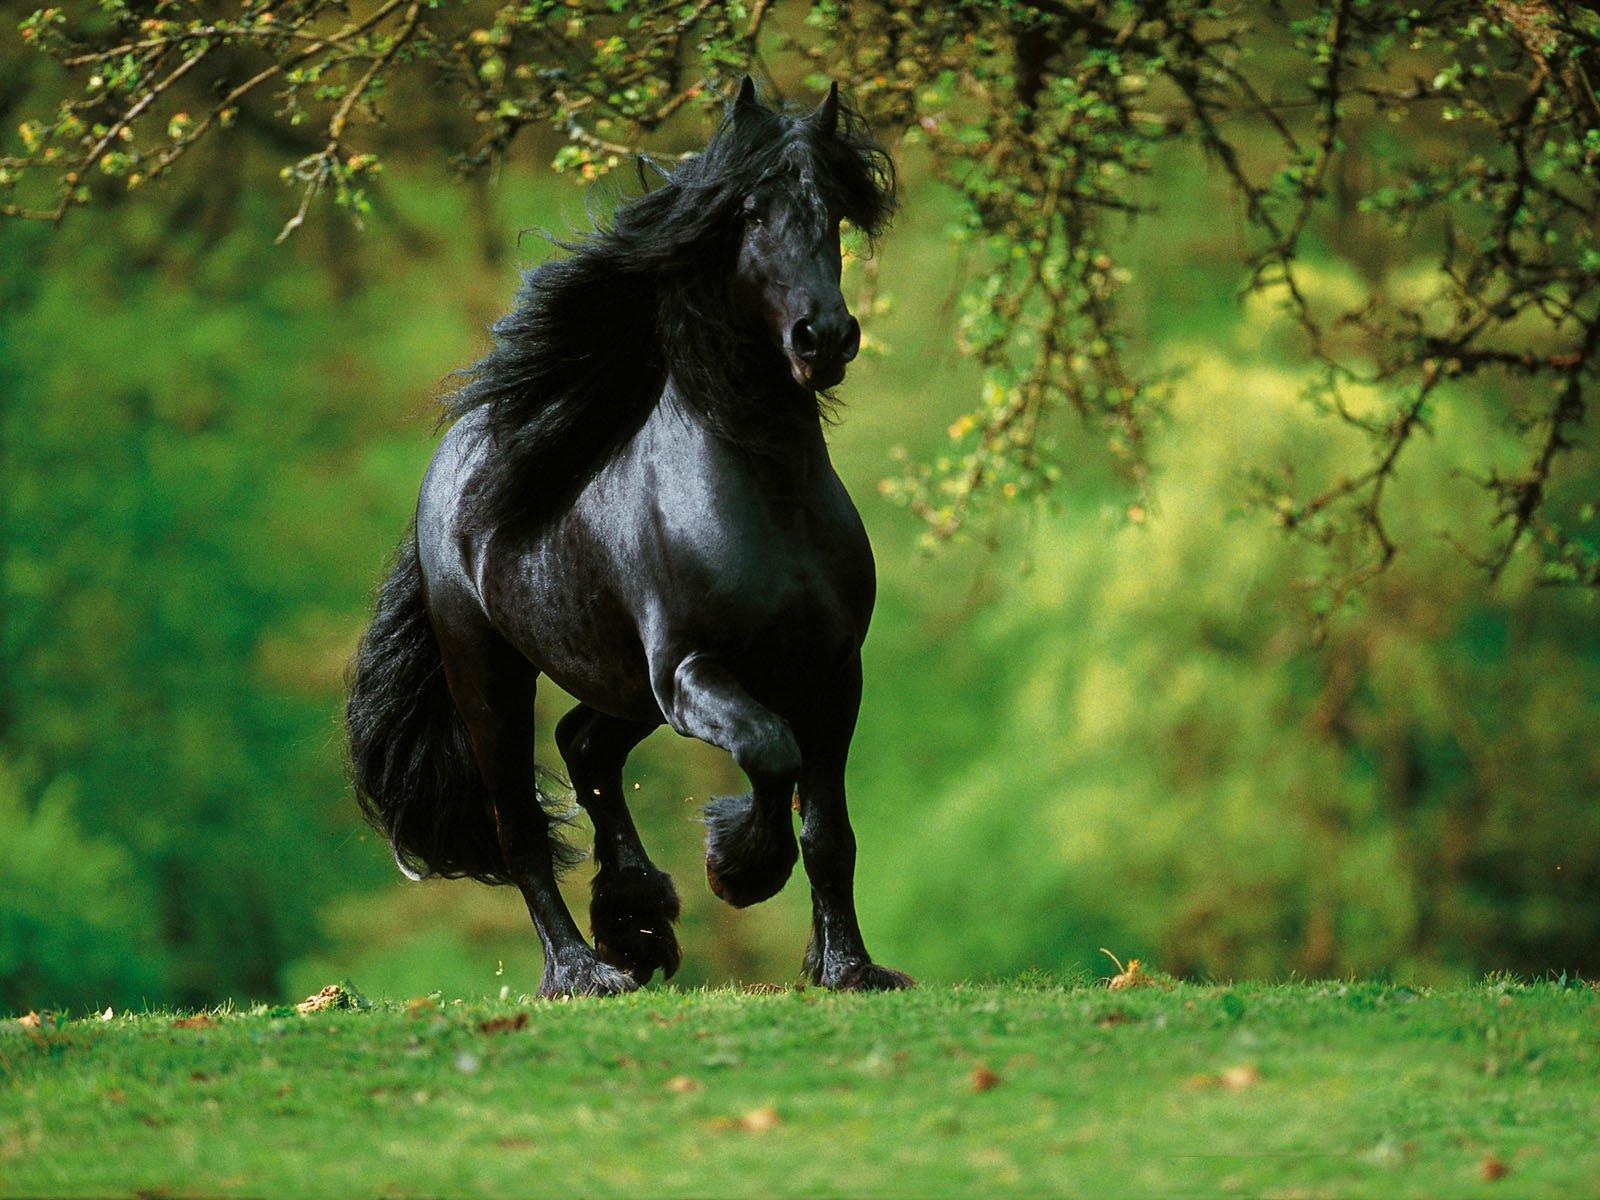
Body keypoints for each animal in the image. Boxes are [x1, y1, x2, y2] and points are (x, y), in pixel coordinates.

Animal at [345, 77, 914, 998]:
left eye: (831, 211)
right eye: (750, 213)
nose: (824, 337)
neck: (767, 498)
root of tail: (451, 465)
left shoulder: (833, 673)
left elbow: (829, 828)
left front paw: (849, 968)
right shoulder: (692, 670)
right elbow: (770, 752)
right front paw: (738, 868)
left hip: (620, 687)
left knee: (584, 747)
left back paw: (636, 919)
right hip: (492, 676)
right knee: (519, 828)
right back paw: (583, 970)